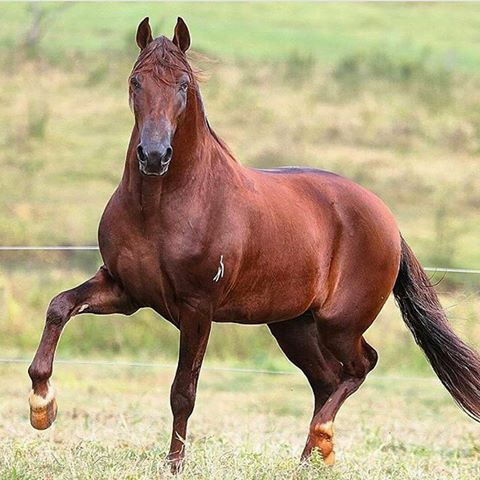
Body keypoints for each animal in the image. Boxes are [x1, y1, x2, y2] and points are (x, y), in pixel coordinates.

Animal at [27, 16, 480, 470]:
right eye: (136, 81)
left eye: (183, 84)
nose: (154, 156)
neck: (161, 206)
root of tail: (387, 220)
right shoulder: (125, 290)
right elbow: (59, 306)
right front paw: (42, 407)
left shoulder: (197, 308)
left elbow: (183, 392)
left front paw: (174, 464)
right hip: (292, 325)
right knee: (326, 379)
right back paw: (309, 459)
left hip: (340, 323)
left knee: (360, 366)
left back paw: (322, 439)